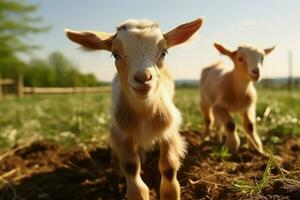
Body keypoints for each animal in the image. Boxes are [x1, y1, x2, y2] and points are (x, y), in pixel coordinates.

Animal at [64, 18, 203, 199]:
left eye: (164, 52)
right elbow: (131, 168)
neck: (145, 112)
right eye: (115, 54)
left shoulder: (169, 130)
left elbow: (169, 167)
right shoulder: (122, 133)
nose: (143, 77)